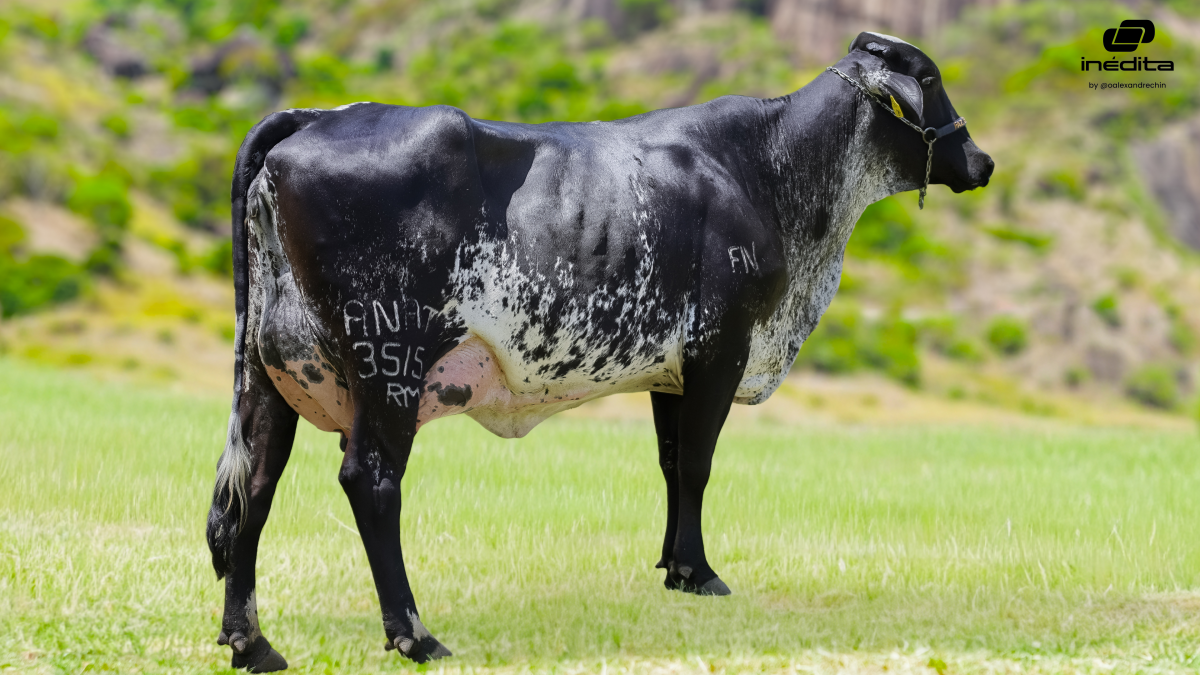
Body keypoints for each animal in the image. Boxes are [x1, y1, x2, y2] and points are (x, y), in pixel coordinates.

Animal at [206, 32, 993, 671]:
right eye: (930, 77)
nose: (982, 160)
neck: (770, 169)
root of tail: (319, 116)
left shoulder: (670, 372)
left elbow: (672, 464)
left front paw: (673, 567)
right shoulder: (721, 348)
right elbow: (700, 465)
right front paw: (701, 572)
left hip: (269, 377)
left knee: (255, 486)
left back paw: (252, 644)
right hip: (388, 363)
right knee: (369, 480)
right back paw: (415, 635)